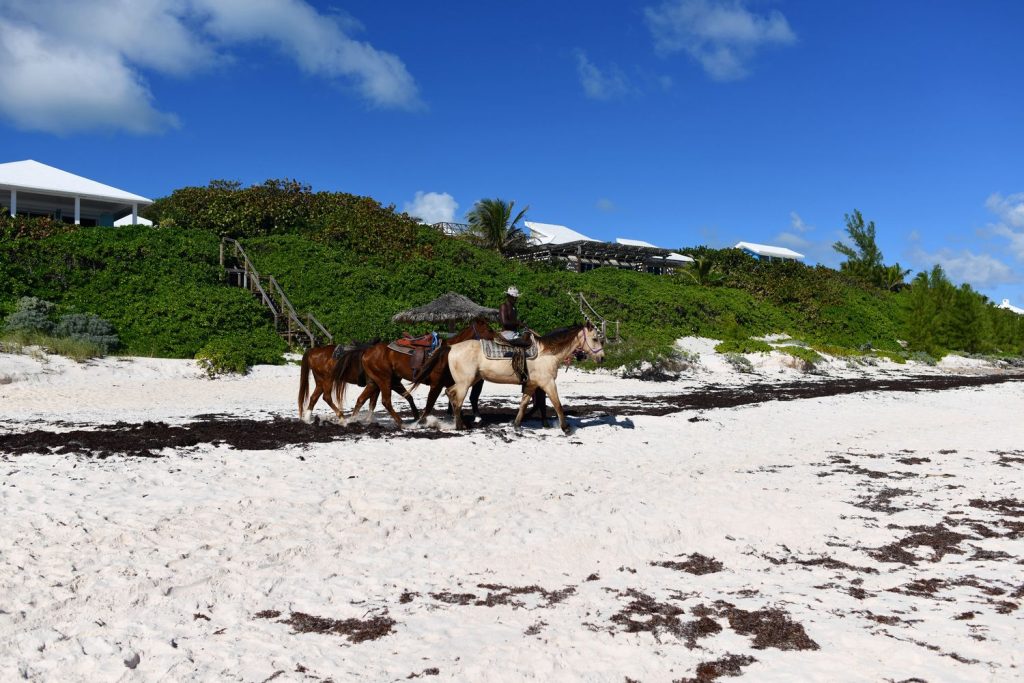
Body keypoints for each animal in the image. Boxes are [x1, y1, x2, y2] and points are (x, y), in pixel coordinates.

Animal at [445, 322, 605, 434]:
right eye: (595, 339)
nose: (602, 358)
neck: (547, 353)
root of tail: (452, 347)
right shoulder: (548, 383)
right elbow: (557, 404)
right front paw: (565, 428)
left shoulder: (531, 385)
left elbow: (523, 405)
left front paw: (516, 425)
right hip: (465, 383)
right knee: (457, 400)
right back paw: (460, 426)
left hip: (471, 380)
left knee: (450, 393)